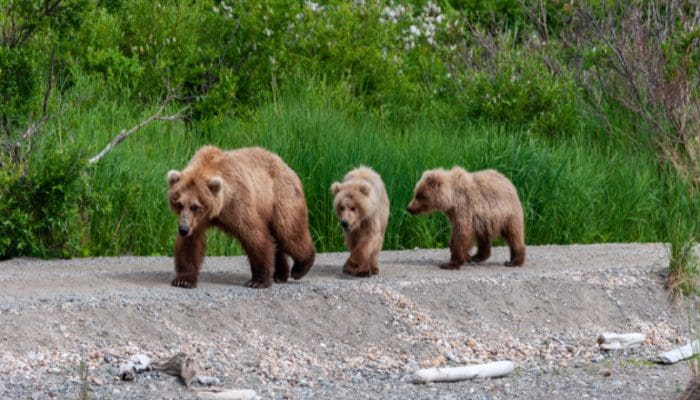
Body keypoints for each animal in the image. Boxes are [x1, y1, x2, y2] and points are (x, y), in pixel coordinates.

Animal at [167, 145, 314, 290]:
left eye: (195, 206)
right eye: (179, 203)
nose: (183, 229)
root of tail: (286, 165)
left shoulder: (237, 204)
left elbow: (254, 235)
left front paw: (258, 281)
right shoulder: (198, 221)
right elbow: (190, 244)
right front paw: (184, 280)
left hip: (280, 196)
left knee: (288, 230)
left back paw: (300, 267)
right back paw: (280, 274)